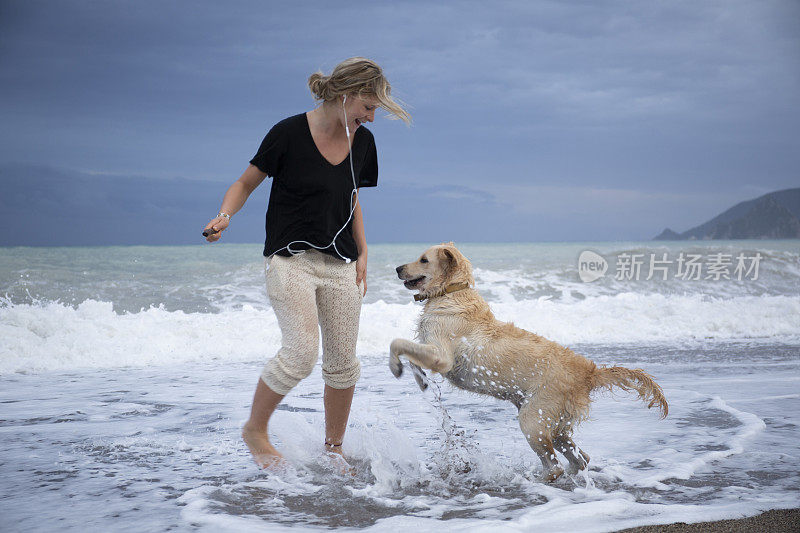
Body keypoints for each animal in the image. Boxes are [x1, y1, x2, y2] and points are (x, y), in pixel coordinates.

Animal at [390, 242, 668, 482]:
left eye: (423, 260)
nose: (397, 268)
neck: (452, 291)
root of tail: (589, 372)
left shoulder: (441, 355)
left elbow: (397, 342)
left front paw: (395, 367)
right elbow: (411, 356)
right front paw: (420, 380)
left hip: (533, 419)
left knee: (555, 466)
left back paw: (536, 479)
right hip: (555, 422)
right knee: (580, 458)